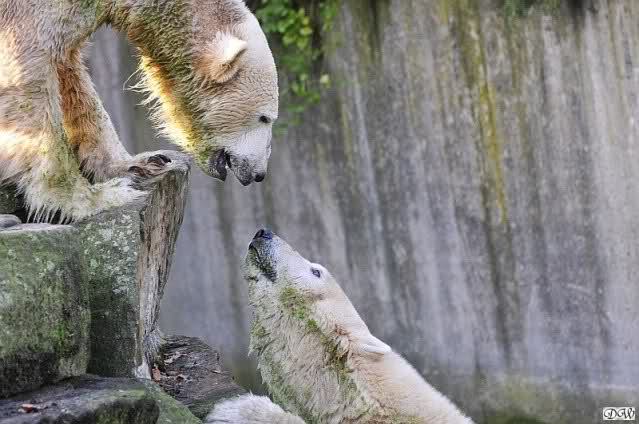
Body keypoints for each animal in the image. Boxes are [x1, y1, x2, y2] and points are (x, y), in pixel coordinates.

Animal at [0, 0, 278, 222]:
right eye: (265, 118)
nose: (259, 174)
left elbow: (71, 78)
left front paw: (140, 164)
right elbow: (27, 68)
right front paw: (90, 198)